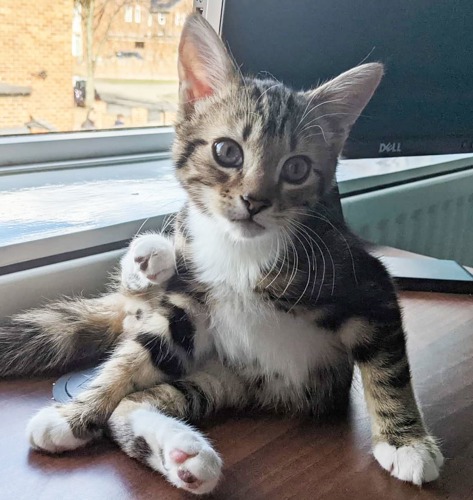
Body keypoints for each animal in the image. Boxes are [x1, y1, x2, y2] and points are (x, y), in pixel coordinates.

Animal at [0, 13, 442, 494]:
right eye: (227, 151)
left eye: (297, 168)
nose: (254, 201)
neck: (239, 251)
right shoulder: (190, 304)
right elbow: (136, 357)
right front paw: (73, 415)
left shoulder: (363, 279)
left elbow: (390, 368)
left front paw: (406, 442)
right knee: (139, 330)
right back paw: (150, 261)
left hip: (234, 379)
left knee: (136, 405)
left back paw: (185, 456)